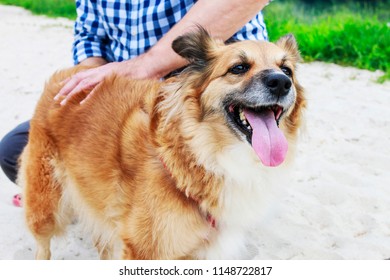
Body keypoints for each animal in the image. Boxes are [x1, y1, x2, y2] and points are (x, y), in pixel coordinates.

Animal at [19, 27, 306, 260]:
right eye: (238, 68)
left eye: (287, 70)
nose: (281, 83)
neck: (198, 151)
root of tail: (67, 74)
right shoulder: (144, 250)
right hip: (45, 207)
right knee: (42, 245)